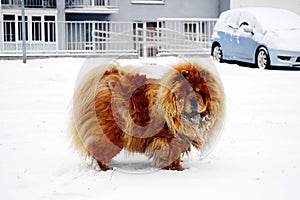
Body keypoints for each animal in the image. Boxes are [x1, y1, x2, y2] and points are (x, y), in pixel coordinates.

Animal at [70, 62, 224, 170]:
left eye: (200, 92)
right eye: (186, 91)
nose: (194, 100)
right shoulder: (168, 139)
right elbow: (171, 155)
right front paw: (177, 169)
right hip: (110, 134)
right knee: (99, 151)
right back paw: (105, 168)